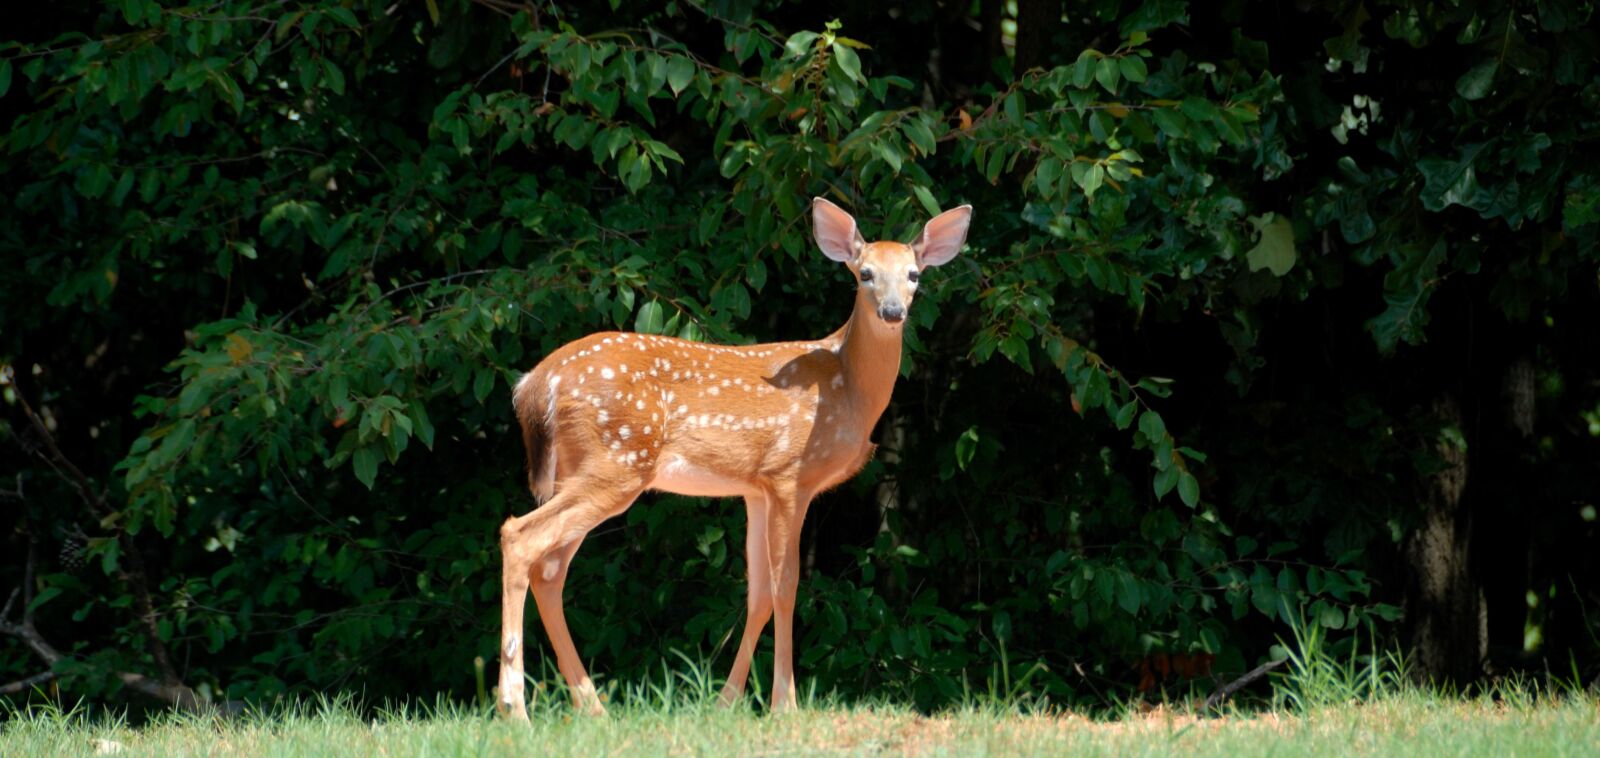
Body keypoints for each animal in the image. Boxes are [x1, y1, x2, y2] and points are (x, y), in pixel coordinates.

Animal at [497, 197, 973, 718]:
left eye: (913, 274)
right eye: (864, 273)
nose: (892, 311)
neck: (848, 389)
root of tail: (533, 383)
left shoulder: (756, 489)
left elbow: (759, 594)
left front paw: (727, 702)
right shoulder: (790, 475)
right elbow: (788, 586)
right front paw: (785, 704)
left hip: (585, 469)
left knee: (549, 569)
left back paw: (592, 708)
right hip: (617, 461)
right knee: (519, 537)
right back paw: (514, 708)